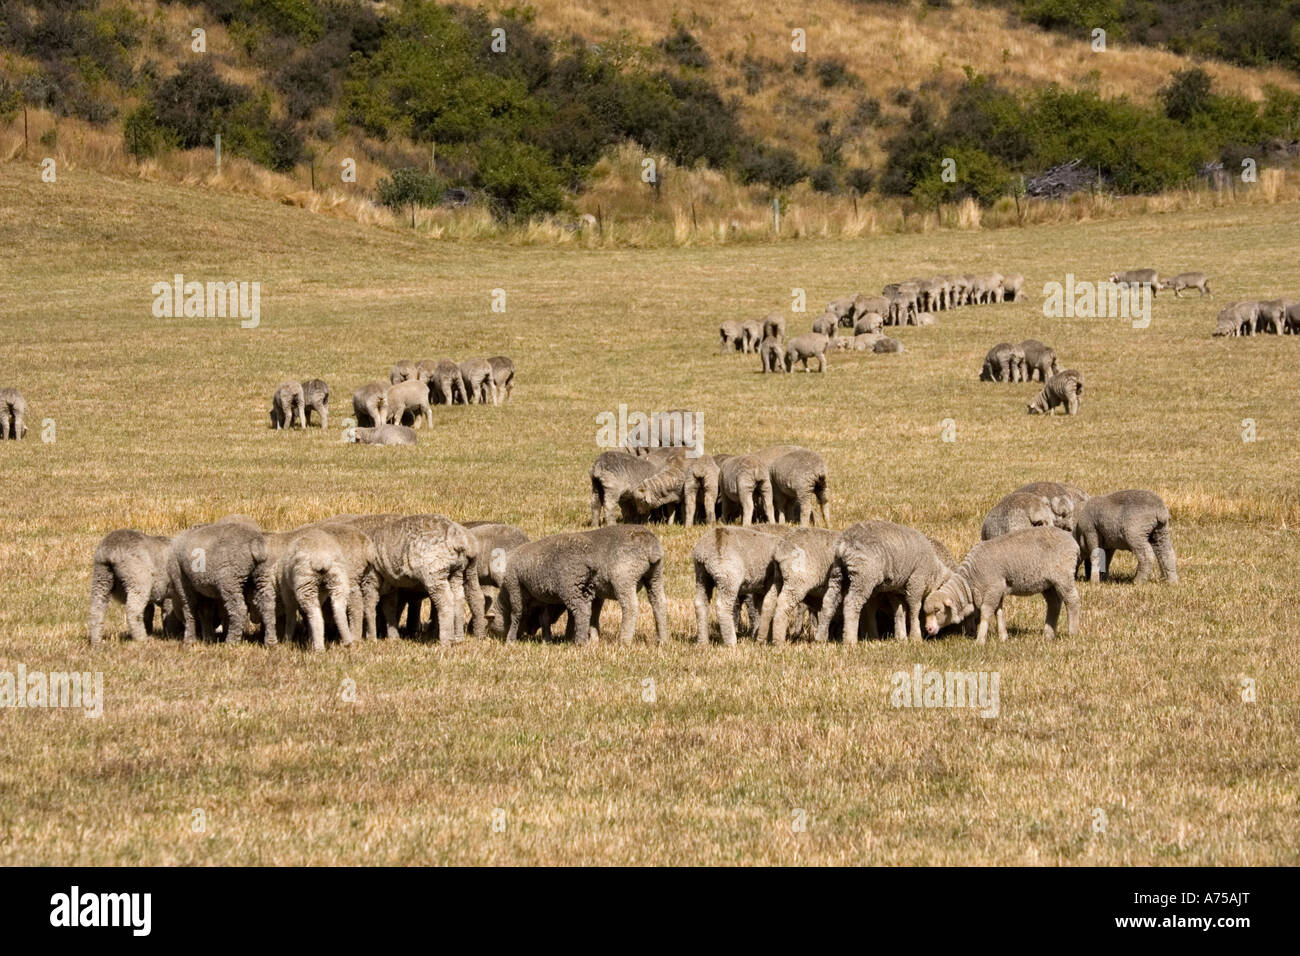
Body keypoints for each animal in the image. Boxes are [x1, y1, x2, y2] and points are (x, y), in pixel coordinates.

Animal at [923, 526, 1081, 644]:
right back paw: (1048, 635)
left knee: (1072, 601)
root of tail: (1072, 541)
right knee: (1054, 603)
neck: (971, 580)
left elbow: (986, 612)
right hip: (1048, 583)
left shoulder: (994, 587)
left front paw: (980, 640)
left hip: (1063, 575)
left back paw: (1072, 633)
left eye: (937, 610)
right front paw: (1003, 637)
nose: (928, 629)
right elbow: (998, 612)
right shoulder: (998, 590)